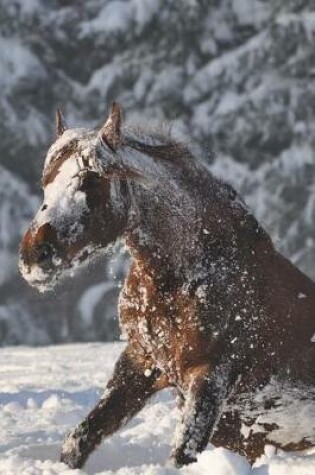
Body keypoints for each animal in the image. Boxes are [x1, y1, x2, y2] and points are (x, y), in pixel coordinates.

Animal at [18, 102, 314, 470]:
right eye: (46, 182)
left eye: (91, 179)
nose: (33, 256)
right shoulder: (141, 363)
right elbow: (80, 439)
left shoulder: (211, 376)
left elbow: (183, 454)